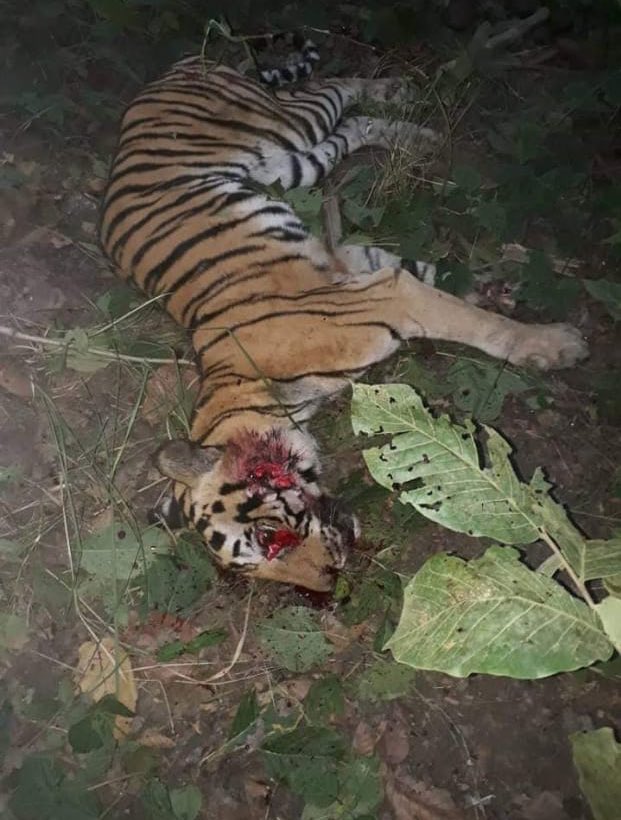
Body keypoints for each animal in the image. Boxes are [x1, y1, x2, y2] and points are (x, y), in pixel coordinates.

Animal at [100, 50, 588, 592]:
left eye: (267, 537)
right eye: (259, 571)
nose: (329, 583)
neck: (259, 395)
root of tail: (175, 70)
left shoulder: (386, 297)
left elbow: (479, 324)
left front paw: (554, 344)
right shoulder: (360, 271)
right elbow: (429, 275)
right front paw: (492, 285)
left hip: (281, 124)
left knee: (334, 86)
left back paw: (397, 92)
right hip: (292, 165)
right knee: (352, 126)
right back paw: (415, 132)